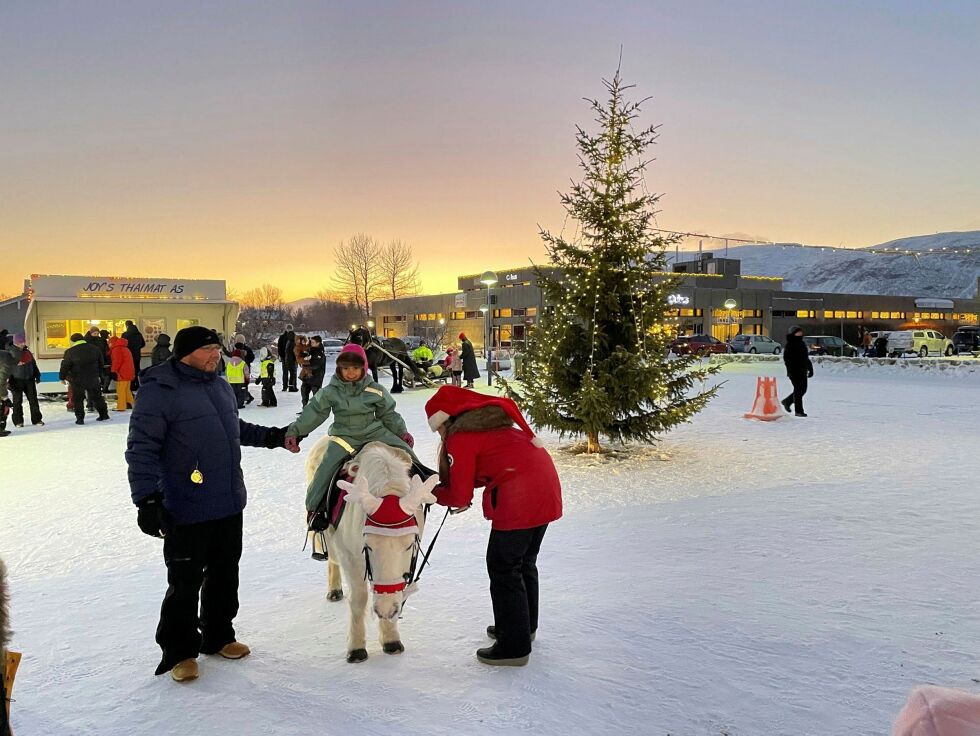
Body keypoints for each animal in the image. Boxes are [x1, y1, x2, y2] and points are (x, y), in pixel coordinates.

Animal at [306, 436, 436, 660]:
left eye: (410, 544)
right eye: (367, 546)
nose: (385, 610)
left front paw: (391, 638)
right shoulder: (351, 556)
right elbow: (359, 599)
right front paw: (356, 648)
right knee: (332, 558)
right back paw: (334, 590)